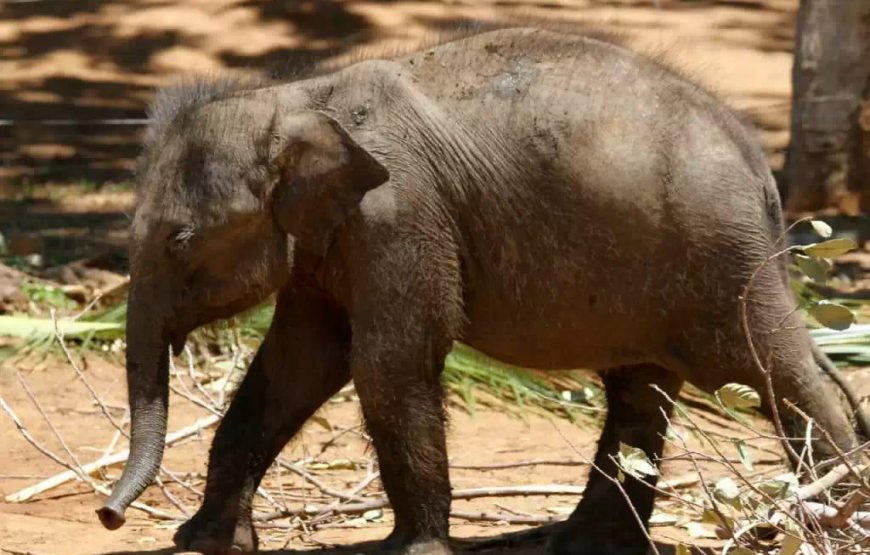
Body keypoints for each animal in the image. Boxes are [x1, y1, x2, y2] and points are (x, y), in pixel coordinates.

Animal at [97, 27, 864, 555]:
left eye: (178, 241)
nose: (108, 514)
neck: (300, 97)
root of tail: (762, 173)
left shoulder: (400, 218)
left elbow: (388, 364)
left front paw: (411, 551)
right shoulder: (328, 242)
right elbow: (295, 366)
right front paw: (204, 541)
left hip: (723, 263)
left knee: (778, 373)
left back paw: (830, 523)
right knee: (640, 390)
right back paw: (582, 543)